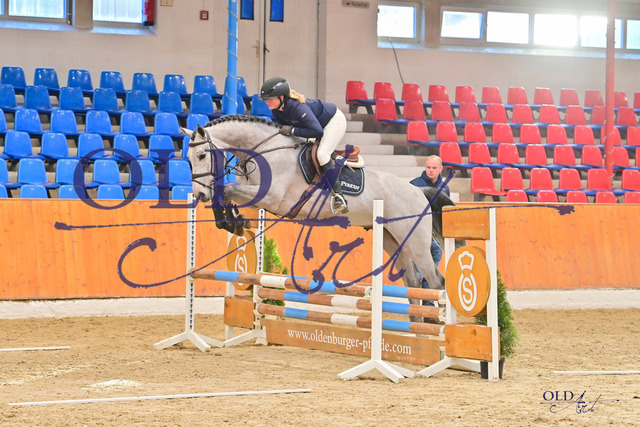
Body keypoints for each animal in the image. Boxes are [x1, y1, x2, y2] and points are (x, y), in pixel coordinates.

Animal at [183, 115, 446, 313]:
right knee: (413, 283)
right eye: (188, 160)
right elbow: (228, 195)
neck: (264, 151)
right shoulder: (258, 200)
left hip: (415, 242)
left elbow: (226, 189)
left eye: (202, 156)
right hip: (392, 240)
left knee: (435, 282)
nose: (200, 194)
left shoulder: (273, 198)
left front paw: (231, 219)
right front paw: (234, 222)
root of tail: (418, 191)